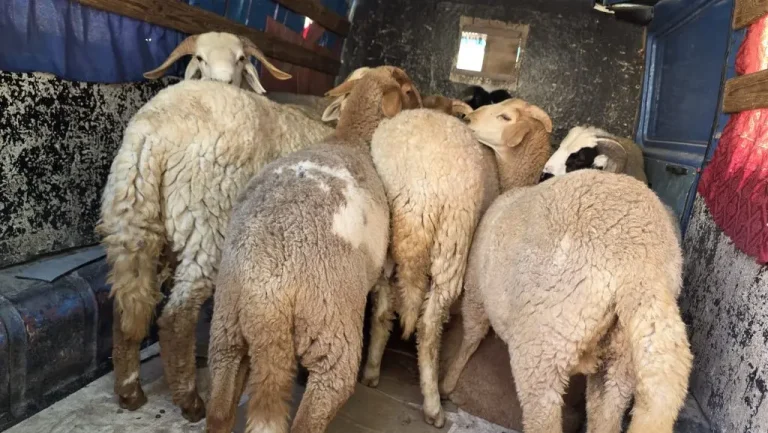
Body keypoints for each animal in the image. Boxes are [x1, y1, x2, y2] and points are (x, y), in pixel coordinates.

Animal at [97, 62, 338, 420]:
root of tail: (152, 132)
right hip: (207, 221)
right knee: (176, 318)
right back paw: (191, 402)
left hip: (134, 217)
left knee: (128, 307)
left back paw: (129, 392)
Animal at [205, 65, 423, 433]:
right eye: (409, 91)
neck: (351, 138)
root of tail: (266, 294)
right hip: (331, 330)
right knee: (313, 412)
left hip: (226, 329)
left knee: (219, 412)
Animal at [440, 168, 693, 433]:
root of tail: (641, 261)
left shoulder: (476, 289)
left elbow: (471, 337)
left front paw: (449, 380)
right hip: (621, 360)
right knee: (605, 417)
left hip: (543, 345)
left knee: (543, 418)